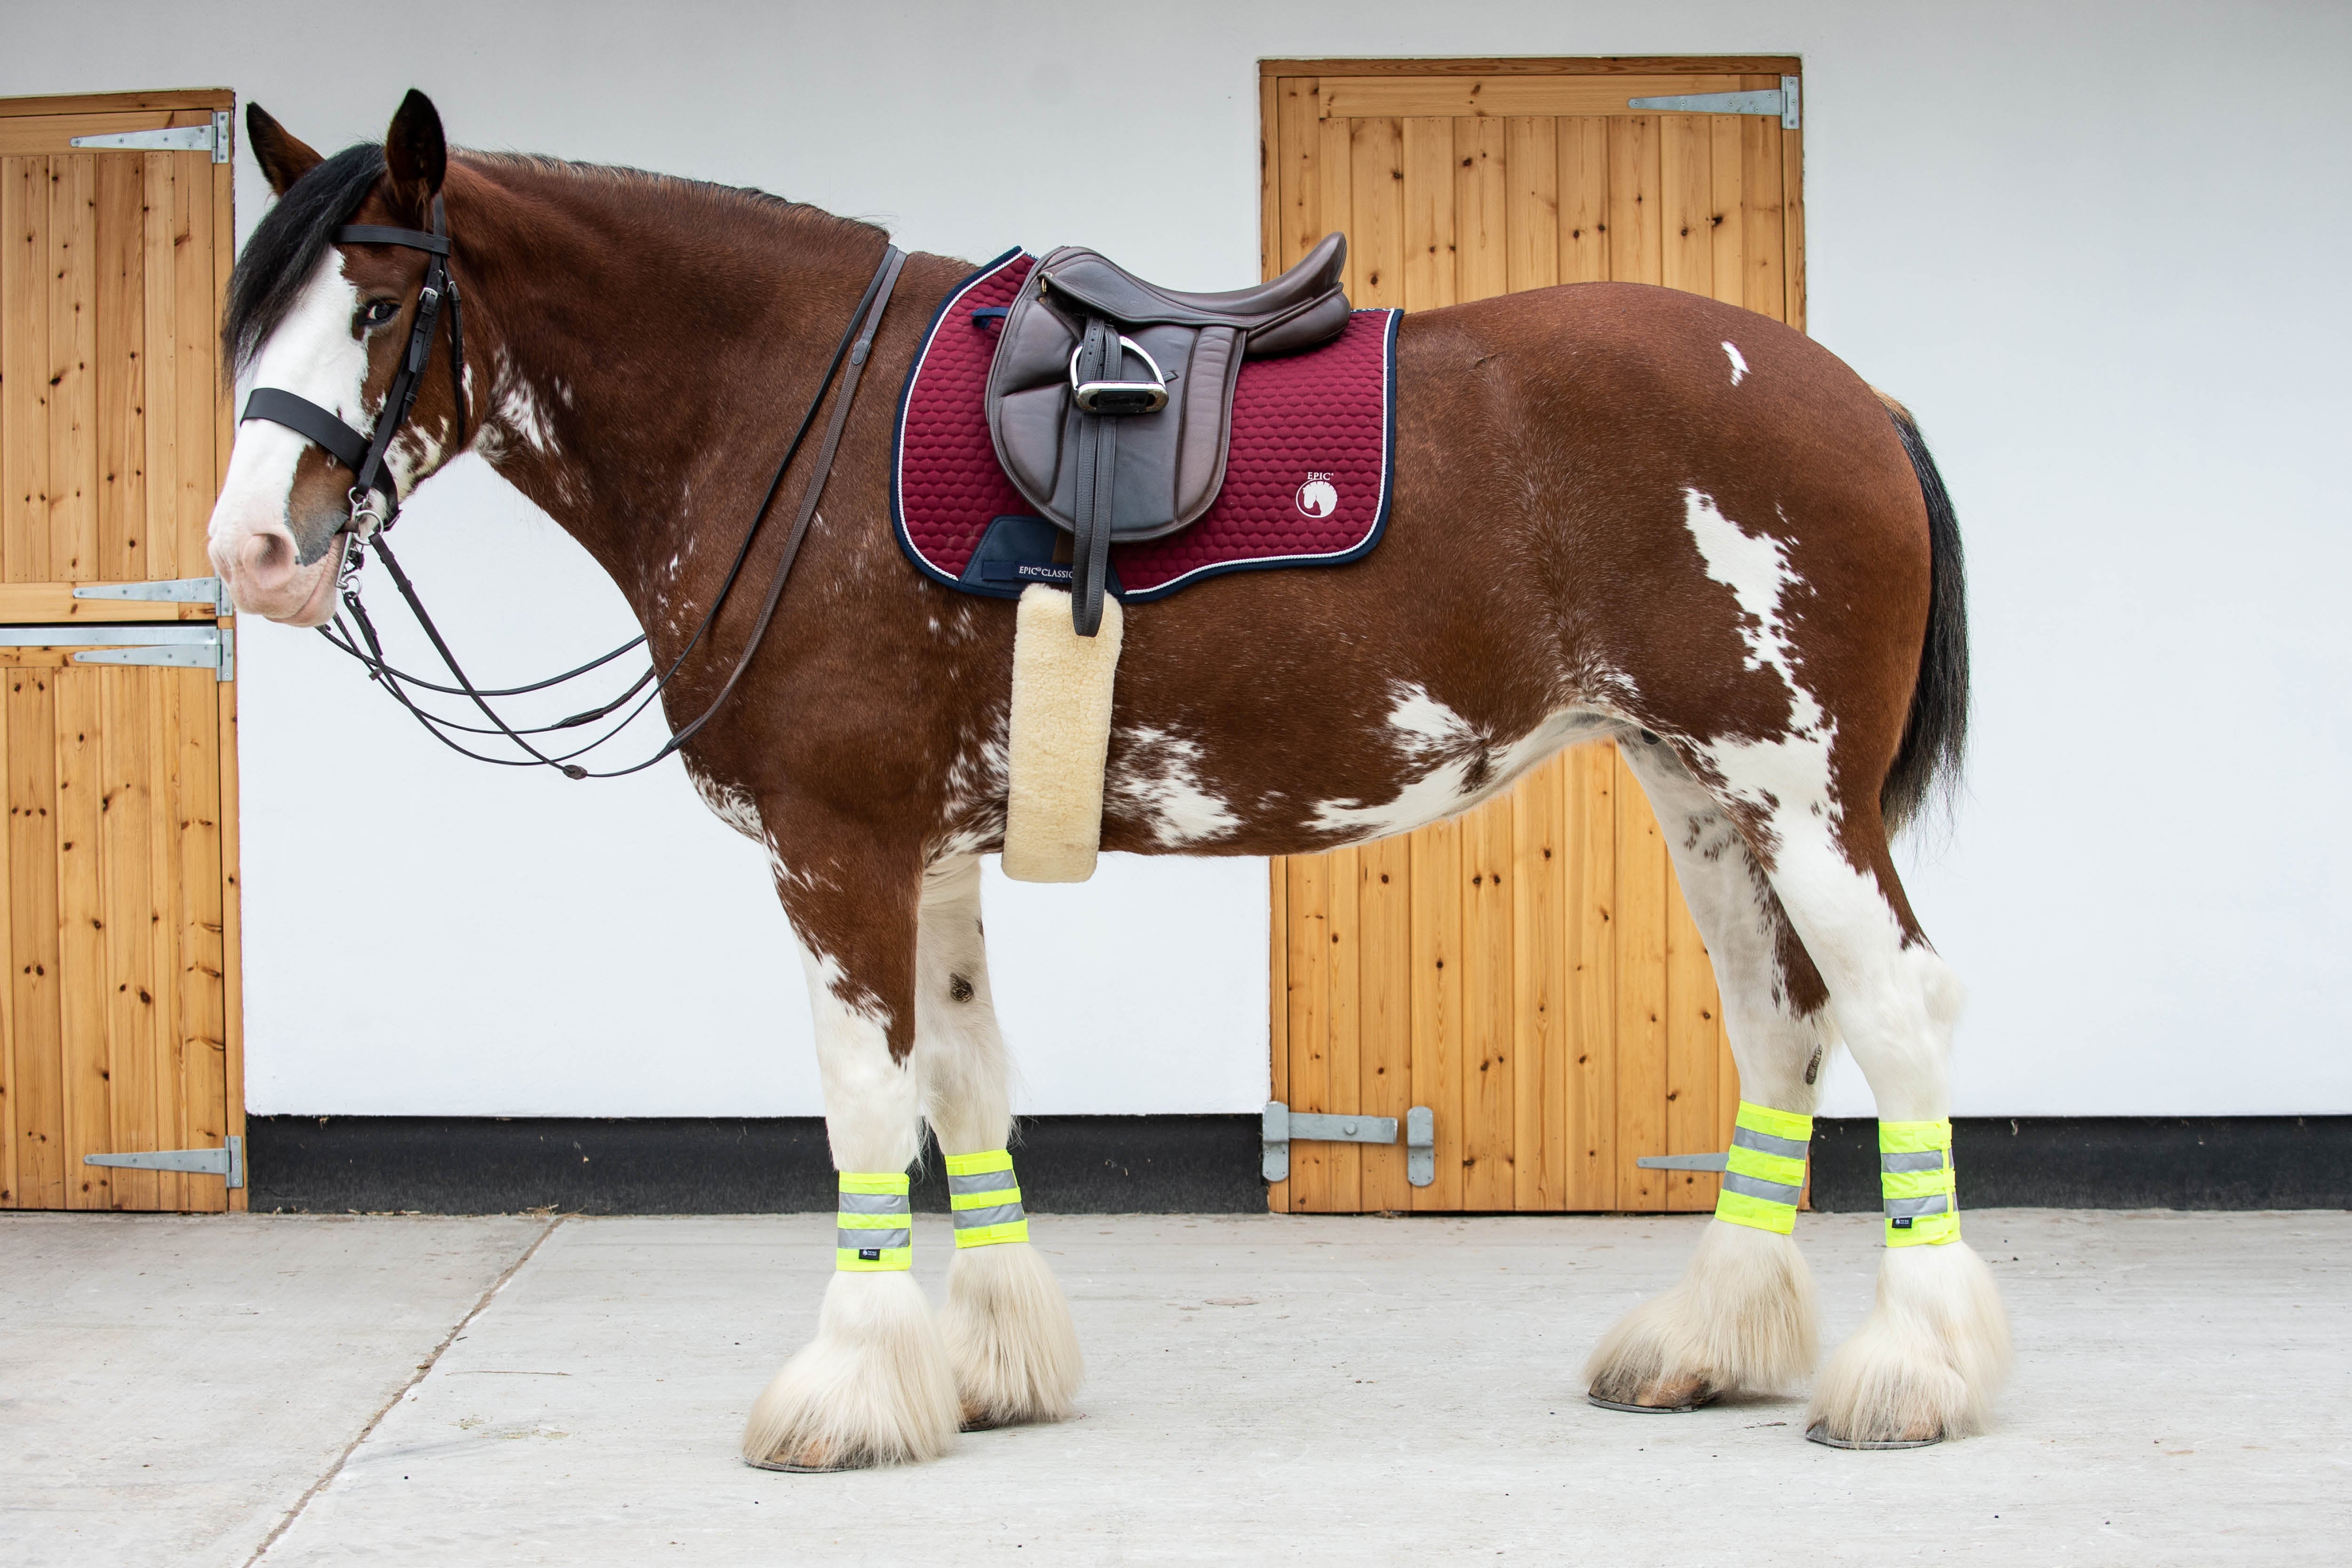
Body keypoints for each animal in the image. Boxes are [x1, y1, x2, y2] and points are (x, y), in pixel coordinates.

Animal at [212, 95, 2004, 1476]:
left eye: (377, 312)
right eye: (247, 326)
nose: (248, 555)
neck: (787, 421)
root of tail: (1855, 397)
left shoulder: (835, 849)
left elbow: (866, 1101)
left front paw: (850, 1388)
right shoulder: (928, 855)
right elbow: (964, 1086)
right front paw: (988, 1368)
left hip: (1798, 794)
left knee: (1897, 1010)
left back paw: (1915, 1372)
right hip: (1699, 787)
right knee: (1780, 1023)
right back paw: (1711, 1338)